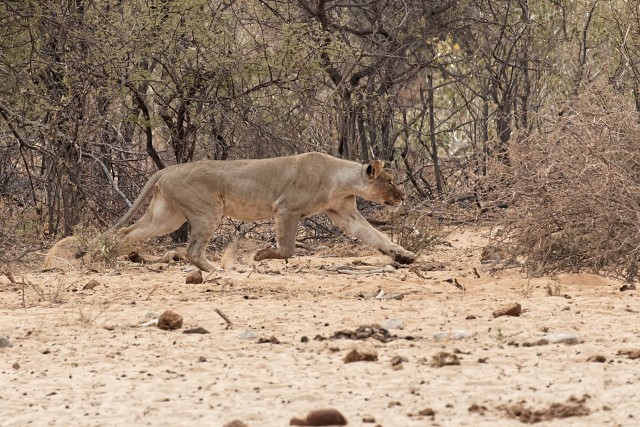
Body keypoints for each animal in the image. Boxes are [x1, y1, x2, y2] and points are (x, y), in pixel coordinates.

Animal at [46, 152, 417, 271]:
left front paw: (404, 256)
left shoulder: (345, 213)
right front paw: (260, 256)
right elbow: (287, 248)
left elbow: (376, 236)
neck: (341, 179)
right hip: (208, 210)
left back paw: (101, 257)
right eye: (390, 181)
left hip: (166, 216)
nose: (402, 196)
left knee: (127, 233)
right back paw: (219, 270)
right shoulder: (286, 208)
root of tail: (166, 169)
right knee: (191, 249)